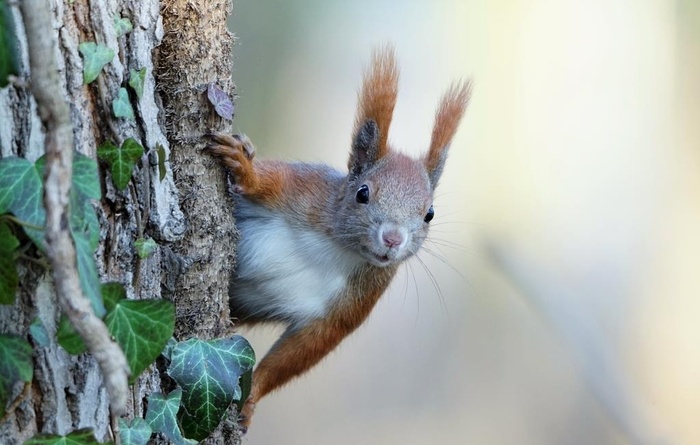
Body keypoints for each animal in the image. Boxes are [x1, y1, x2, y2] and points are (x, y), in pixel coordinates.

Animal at [206, 46, 470, 430]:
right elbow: (268, 180)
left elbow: (304, 349)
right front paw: (246, 169)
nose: (393, 239)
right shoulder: (303, 189)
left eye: (429, 214)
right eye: (362, 193)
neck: (337, 247)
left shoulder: (356, 300)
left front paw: (252, 396)